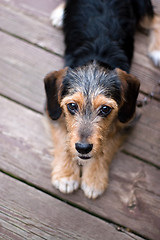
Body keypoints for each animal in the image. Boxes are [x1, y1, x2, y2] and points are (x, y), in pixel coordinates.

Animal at [44, 0, 160, 199]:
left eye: (105, 109)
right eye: (72, 106)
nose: (83, 148)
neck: (96, 56)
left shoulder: (126, 119)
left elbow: (107, 147)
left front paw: (94, 179)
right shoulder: (54, 109)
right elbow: (63, 138)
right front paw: (66, 175)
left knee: (156, 19)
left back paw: (157, 50)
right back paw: (60, 13)